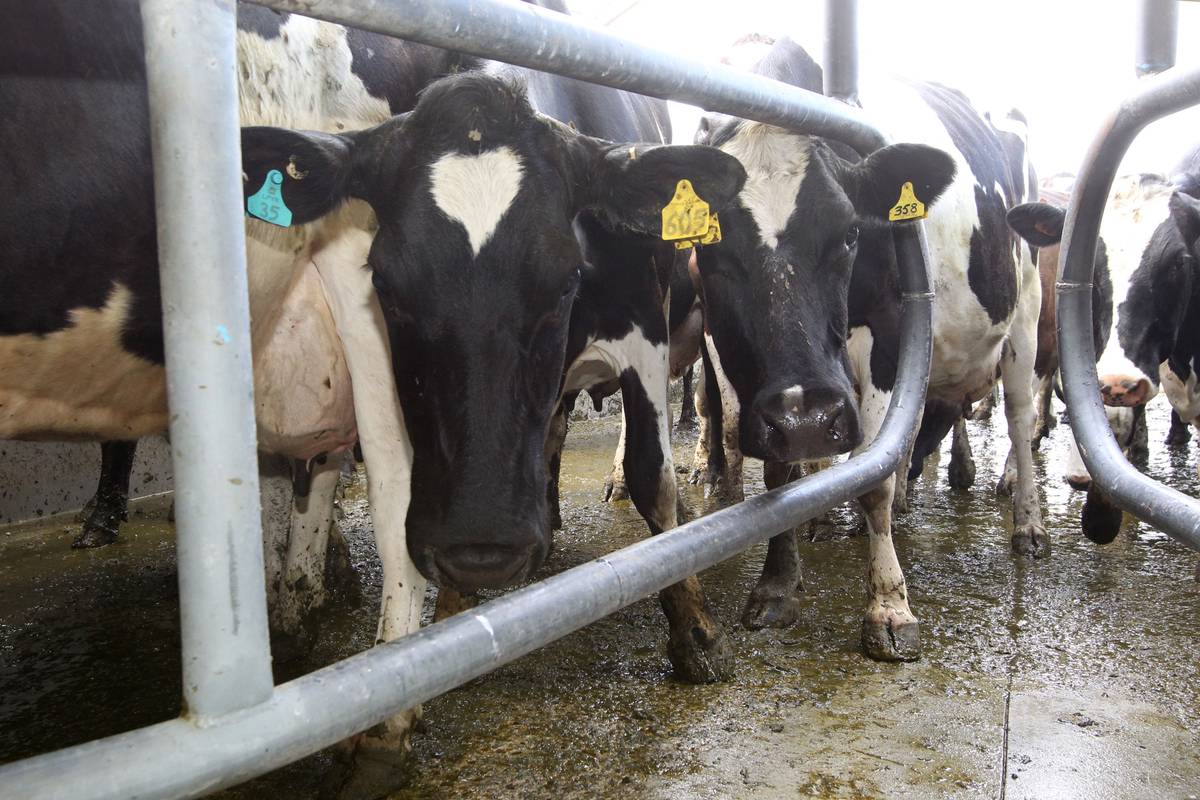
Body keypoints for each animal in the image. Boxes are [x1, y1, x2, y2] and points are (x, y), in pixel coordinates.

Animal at [2, 2, 745, 794]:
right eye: (388, 285)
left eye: (567, 278)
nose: (482, 545)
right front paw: (453, 619)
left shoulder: (645, 327)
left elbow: (653, 480)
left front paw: (694, 632)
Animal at [688, 36, 1043, 663]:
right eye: (710, 247)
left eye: (851, 231)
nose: (808, 417)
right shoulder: (741, 366)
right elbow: (779, 471)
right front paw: (778, 584)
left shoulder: (891, 328)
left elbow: (873, 475)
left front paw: (889, 606)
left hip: (1023, 315)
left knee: (1022, 421)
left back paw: (1026, 524)